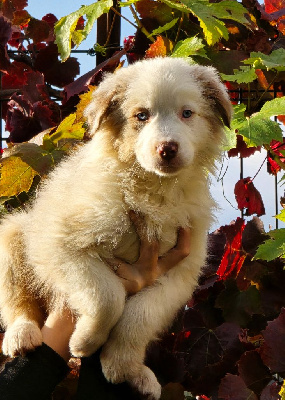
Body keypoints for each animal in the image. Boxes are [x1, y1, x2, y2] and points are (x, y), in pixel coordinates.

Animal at [0, 57, 231, 398]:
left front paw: (119, 364)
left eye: (187, 113)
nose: (167, 149)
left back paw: (141, 375)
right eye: (141, 115)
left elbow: (141, 315)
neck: (152, 190)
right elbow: (107, 297)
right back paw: (22, 335)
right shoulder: (60, 244)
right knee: (18, 302)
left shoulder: (180, 272)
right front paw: (85, 341)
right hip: (14, 234)